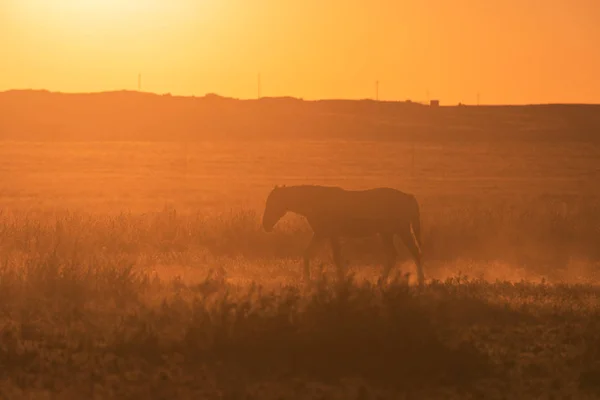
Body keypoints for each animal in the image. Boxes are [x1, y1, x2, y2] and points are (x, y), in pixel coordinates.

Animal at [260, 186, 424, 286]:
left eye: (272, 203)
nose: (265, 225)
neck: (316, 201)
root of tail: (409, 197)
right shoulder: (322, 234)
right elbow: (309, 254)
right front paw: (308, 279)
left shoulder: (328, 234)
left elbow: (335, 258)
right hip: (387, 233)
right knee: (392, 255)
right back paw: (381, 282)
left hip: (402, 231)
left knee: (415, 253)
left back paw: (421, 282)